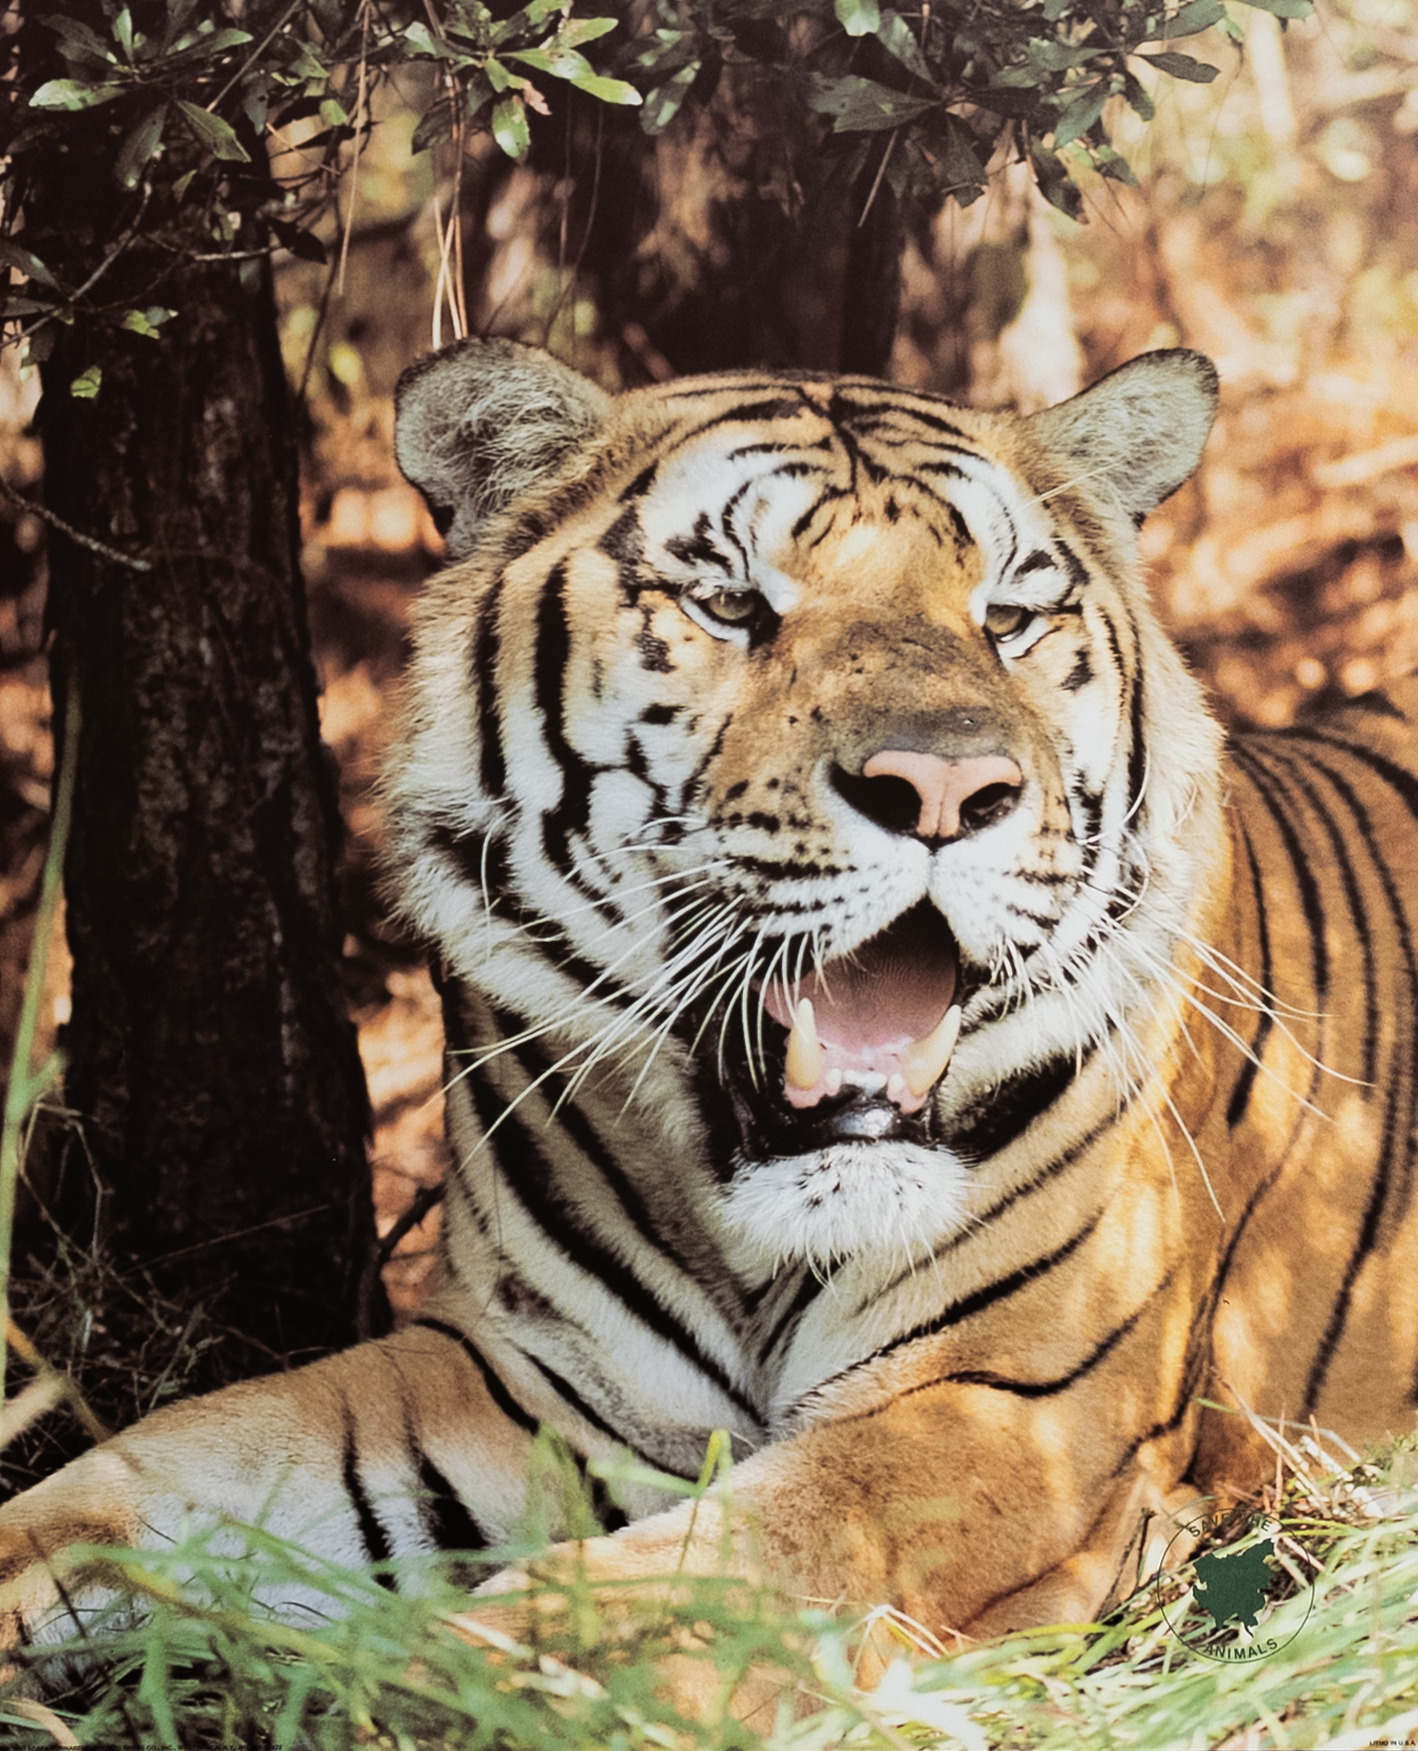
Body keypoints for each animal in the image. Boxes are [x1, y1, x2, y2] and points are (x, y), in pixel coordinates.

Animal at [1, 338, 1416, 1682]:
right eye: (730, 602)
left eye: (1009, 616)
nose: (946, 788)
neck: (749, 1229)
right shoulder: (519, 1374)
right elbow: (150, 1469)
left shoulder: (1003, 1412)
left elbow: (720, 1571)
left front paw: (453, 1689)